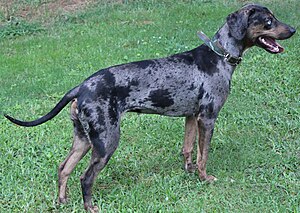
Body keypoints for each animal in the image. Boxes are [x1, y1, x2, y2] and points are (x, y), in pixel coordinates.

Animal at [4, 3, 296, 213]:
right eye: (268, 21)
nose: (293, 30)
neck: (220, 55)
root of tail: (81, 87)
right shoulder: (208, 118)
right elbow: (203, 154)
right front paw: (205, 179)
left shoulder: (191, 117)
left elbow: (188, 150)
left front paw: (190, 173)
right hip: (106, 142)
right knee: (85, 178)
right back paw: (90, 207)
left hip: (84, 139)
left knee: (63, 168)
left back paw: (62, 202)